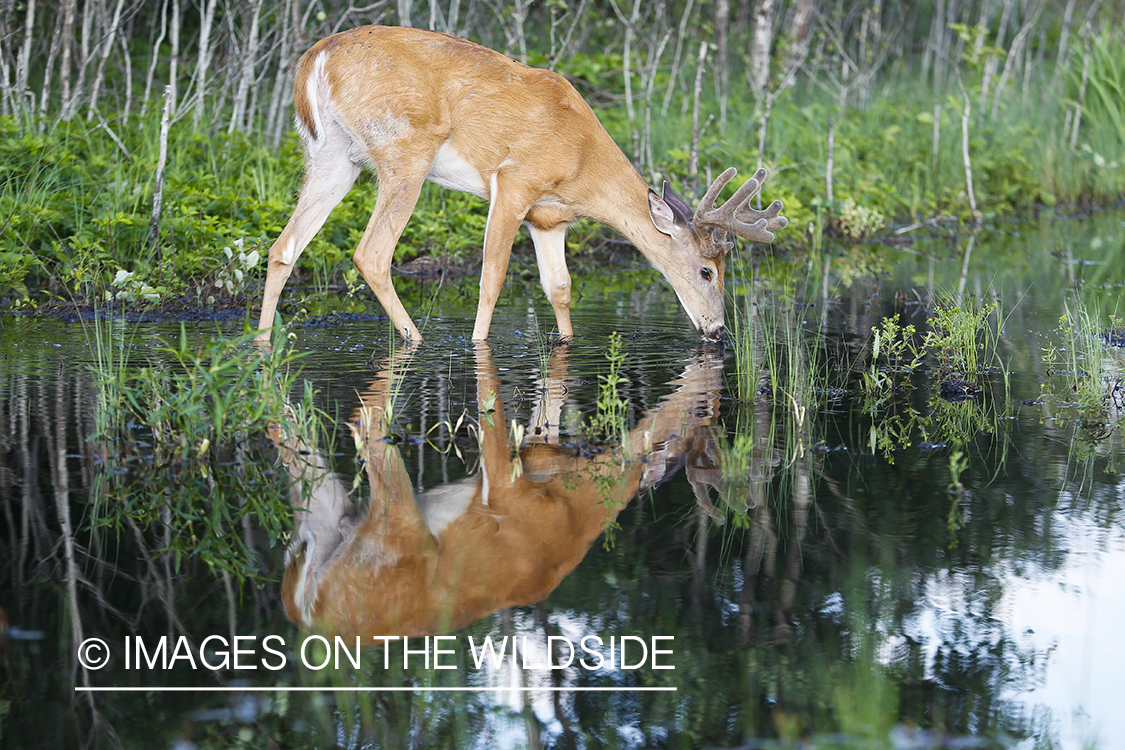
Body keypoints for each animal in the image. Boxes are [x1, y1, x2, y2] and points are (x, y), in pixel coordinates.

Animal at [256, 25, 787, 343]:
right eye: (707, 271)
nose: (718, 331)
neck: (583, 164)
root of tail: (316, 58)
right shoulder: (514, 181)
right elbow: (492, 277)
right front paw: (478, 345)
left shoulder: (548, 219)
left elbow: (560, 287)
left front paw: (567, 345)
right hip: (405, 151)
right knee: (371, 252)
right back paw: (416, 340)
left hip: (331, 155)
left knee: (283, 247)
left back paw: (262, 342)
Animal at [270, 343, 723, 638]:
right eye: (693, 419)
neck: (576, 507)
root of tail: (306, 613)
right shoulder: (508, 487)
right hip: (395, 534)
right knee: (365, 418)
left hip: (326, 514)